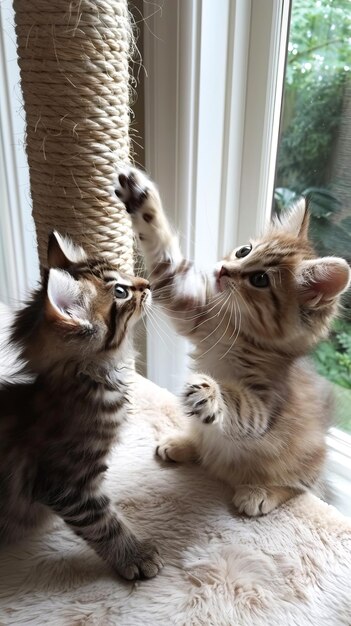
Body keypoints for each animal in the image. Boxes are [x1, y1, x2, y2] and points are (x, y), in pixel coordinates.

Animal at [116, 163, 351, 516]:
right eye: (244, 250)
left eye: (260, 279)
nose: (224, 269)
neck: (235, 330)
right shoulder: (192, 309)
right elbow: (166, 258)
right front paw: (141, 198)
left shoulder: (266, 404)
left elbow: (241, 407)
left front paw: (211, 394)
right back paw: (183, 444)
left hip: (304, 460)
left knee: (300, 488)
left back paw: (260, 492)